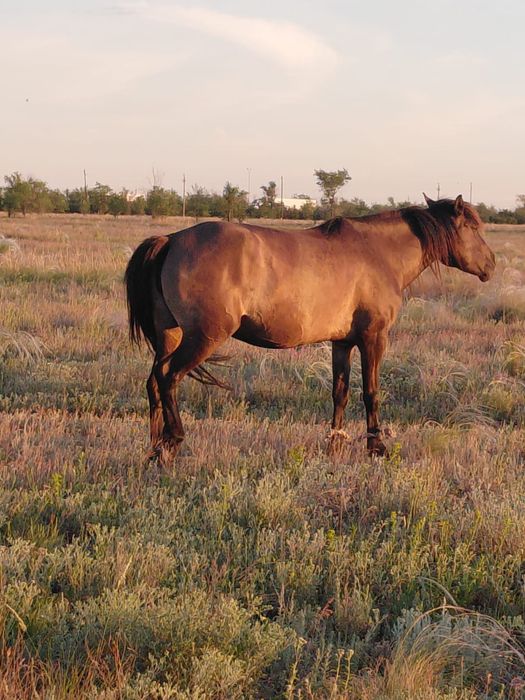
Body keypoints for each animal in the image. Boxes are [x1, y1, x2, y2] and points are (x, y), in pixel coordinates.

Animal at [125, 195, 495, 464]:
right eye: (473, 228)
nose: (491, 264)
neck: (379, 253)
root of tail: (171, 240)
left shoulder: (342, 343)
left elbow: (340, 392)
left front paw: (335, 445)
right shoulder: (374, 338)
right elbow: (371, 392)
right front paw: (376, 447)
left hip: (170, 335)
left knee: (154, 381)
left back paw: (155, 447)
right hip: (203, 337)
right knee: (169, 377)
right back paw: (174, 441)